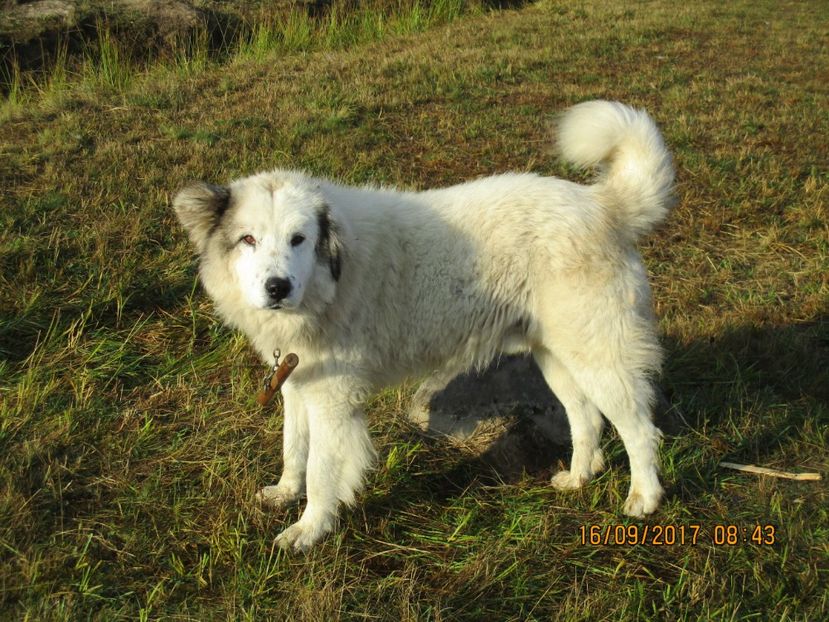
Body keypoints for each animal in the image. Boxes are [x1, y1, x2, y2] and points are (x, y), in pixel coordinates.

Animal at [173, 100, 675, 551]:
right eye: (248, 239)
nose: (277, 287)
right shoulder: (299, 385)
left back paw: (643, 499)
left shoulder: (333, 400)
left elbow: (319, 471)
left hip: (599, 357)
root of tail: (603, 205)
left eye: (299, 239)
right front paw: (284, 494)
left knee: (640, 430)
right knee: (585, 417)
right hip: (557, 357)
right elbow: (293, 449)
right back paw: (578, 477)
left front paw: (309, 530)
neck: (332, 277)